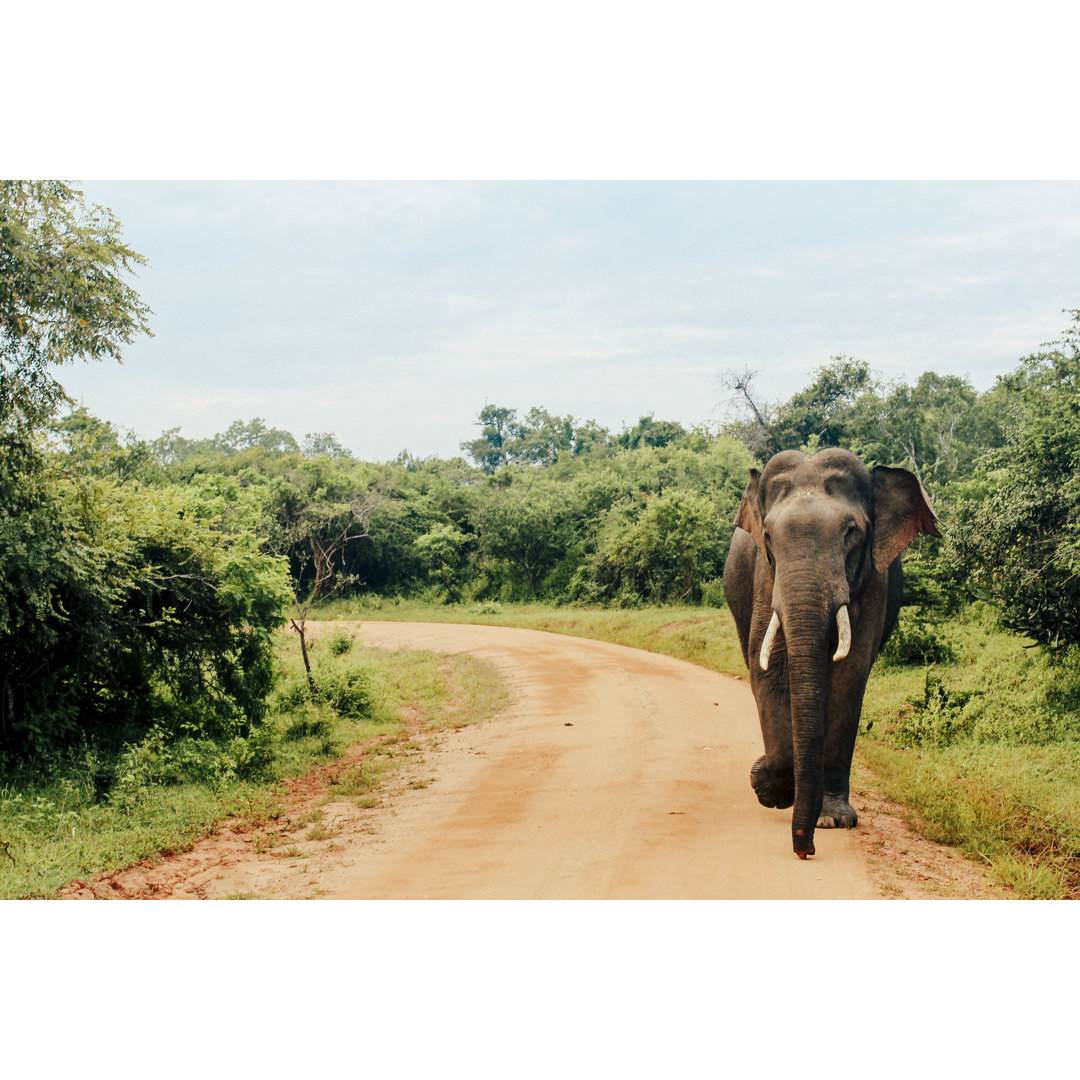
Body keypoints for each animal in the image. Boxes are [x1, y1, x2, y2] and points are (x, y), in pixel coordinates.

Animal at [725, 447, 937, 859]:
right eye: (769, 536)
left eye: (851, 531)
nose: (804, 850)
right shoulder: (765, 576)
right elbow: (769, 672)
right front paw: (769, 789)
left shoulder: (873, 581)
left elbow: (849, 677)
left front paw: (832, 820)